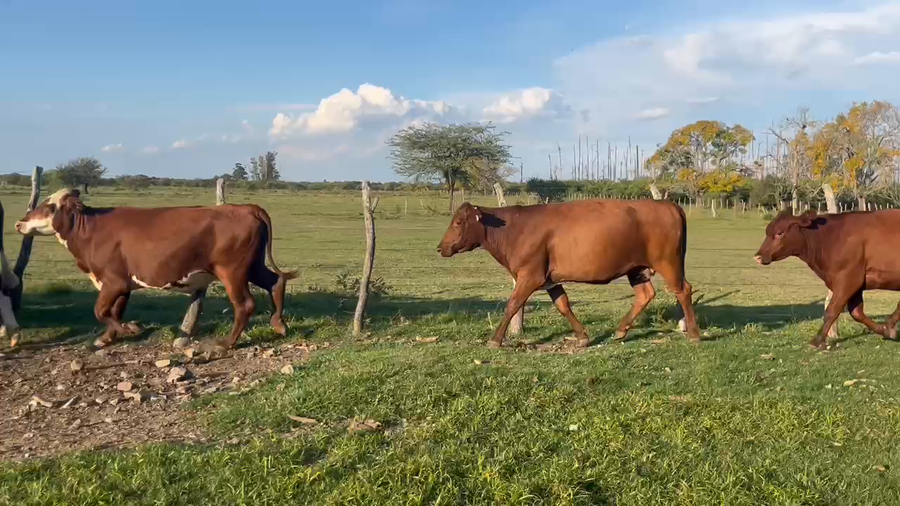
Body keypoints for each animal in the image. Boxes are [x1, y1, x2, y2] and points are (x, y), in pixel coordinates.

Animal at [14, 188, 298, 350]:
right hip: (252, 265)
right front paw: (108, 337)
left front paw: (129, 329)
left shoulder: (113, 281)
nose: (19, 222)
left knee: (245, 305)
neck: (91, 231)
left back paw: (226, 343)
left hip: (232, 271)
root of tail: (247, 207)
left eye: (49, 206)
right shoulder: (123, 283)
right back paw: (278, 324)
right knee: (275, 281)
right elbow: (114, 310)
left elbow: (101, 310)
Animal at [437, 200, 701, 348]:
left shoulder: (529, 275)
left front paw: (495, 339)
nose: (440, 247)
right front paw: (582, 337)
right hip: (637, 269)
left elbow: (512, 304)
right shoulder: (549, 279)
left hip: (668, 262)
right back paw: (620, 331)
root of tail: (668, 204)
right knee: (645, 294)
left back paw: (694, 334)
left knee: (683, 290)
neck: (514, 228)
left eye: (458, 222)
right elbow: (563, 305)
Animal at [755, 208, 900, 349]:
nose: (758, 256)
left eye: (780, 232)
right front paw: (885, 330)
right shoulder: (855, 283)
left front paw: (817, 341)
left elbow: (832, 310)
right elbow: (856, 313)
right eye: (767, 231)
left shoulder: (848, 279)